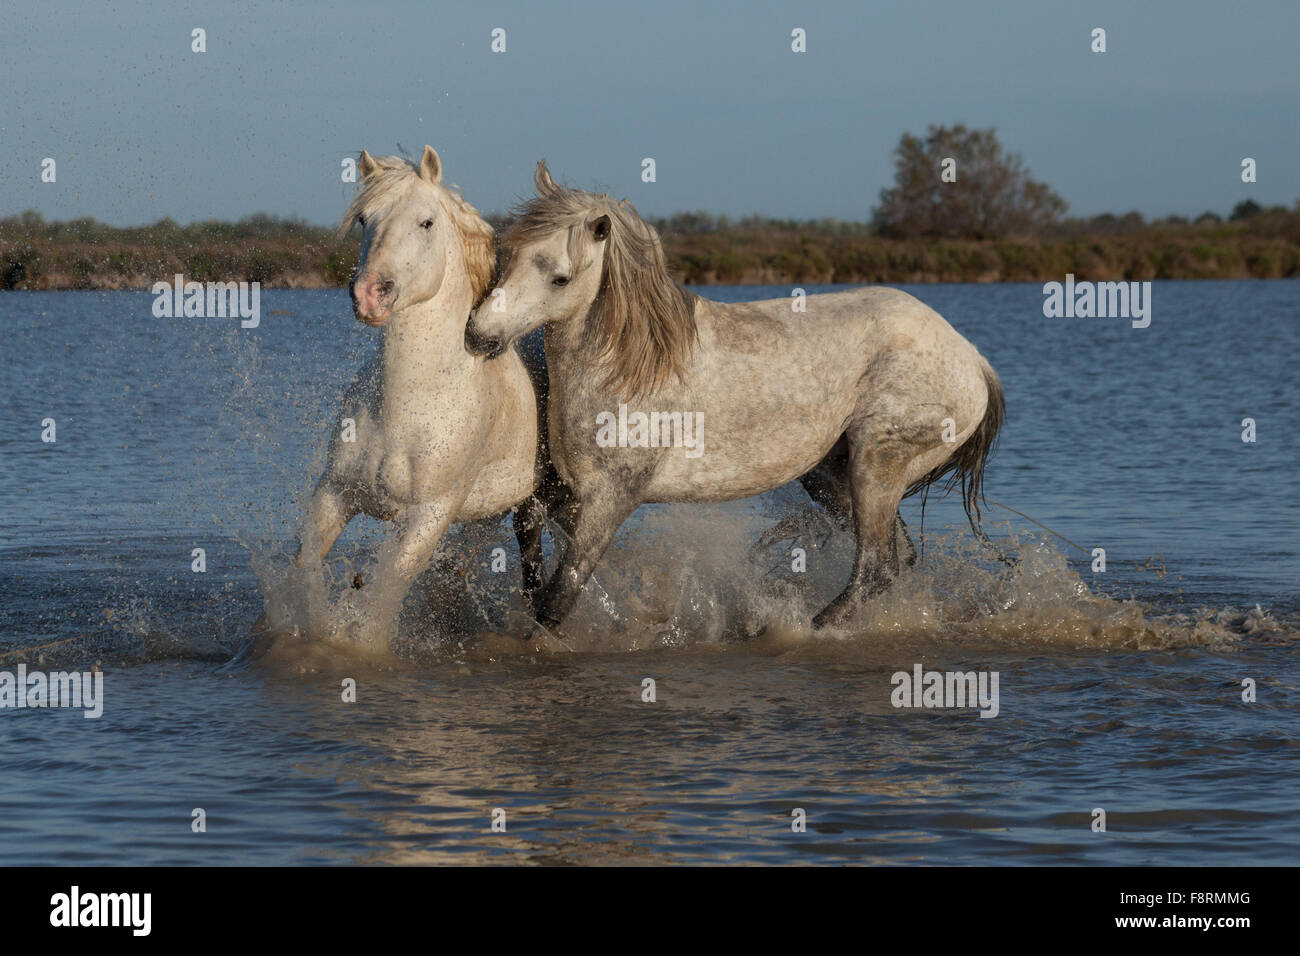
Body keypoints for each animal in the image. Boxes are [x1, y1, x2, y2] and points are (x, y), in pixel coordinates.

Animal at [256, 145, 551, 650]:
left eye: (426, 222)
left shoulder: (429, 514)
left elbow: (382, 596)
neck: (407, 407)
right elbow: (306, 567)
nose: (370, 294)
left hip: (531, 509)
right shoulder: (334, 492)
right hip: (486, 515)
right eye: (363, 220)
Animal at [467, 166, 1003, 634]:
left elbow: (558, 600)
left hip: (878, 465)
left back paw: (796, 630)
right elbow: (532, 548)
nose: (478, 334)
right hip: (832, 474)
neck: (632, 366)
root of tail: (974, 359)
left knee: (875, 568)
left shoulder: (612, 498)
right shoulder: (567, 493)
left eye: (559, 277)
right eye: (508, 255)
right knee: (899, 560)